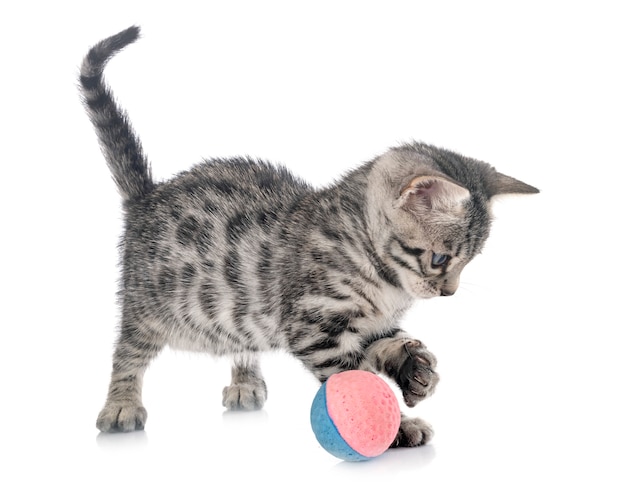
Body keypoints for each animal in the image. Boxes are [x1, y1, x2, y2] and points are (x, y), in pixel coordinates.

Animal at [78, 26, 536, 446]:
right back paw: (121, 404)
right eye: (440, 259)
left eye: (468, 261)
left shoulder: (371, 324)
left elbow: (387, 344)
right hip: (150, 303)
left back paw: (245, 380)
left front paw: (417, 371)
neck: (379, 271)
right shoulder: (314, 327)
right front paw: (395, 428)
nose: (448, 293)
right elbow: (354, 376)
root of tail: (149, 195)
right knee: (128, 348)